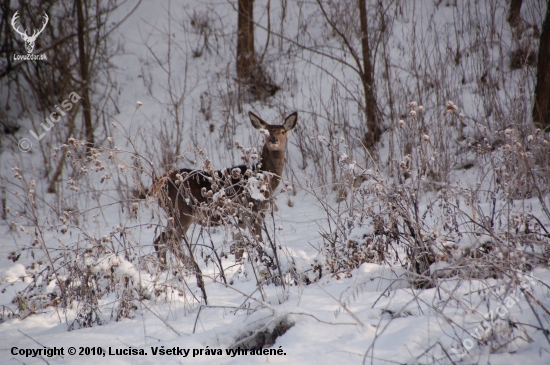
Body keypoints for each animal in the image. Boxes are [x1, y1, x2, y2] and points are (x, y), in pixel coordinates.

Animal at [150, 109, 298, 266]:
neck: (262, 181)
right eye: (266, 132)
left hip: (173, 214)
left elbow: (239, 248)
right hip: (181, 211)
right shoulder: (251, 213)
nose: (274, 140)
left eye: (283, 131)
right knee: (169, 241)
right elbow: (257, 243)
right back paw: (193, 267)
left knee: (159, 240)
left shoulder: (240, 219)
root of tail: (157, 185)